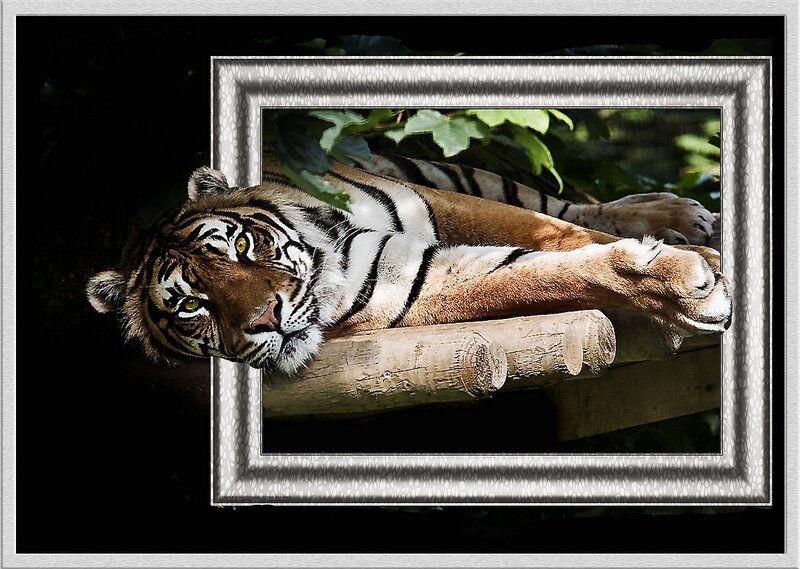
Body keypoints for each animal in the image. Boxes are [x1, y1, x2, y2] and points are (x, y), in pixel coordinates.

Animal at [86, 155, 731, 375]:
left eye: (242, 249)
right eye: (191, 305)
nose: (266, 319)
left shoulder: (435, 201)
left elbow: (554, 231)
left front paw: (699, 259)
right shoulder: (408, 285)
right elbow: (537, 272)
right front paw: (688, 281)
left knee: (562, 205)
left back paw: (686, 216)